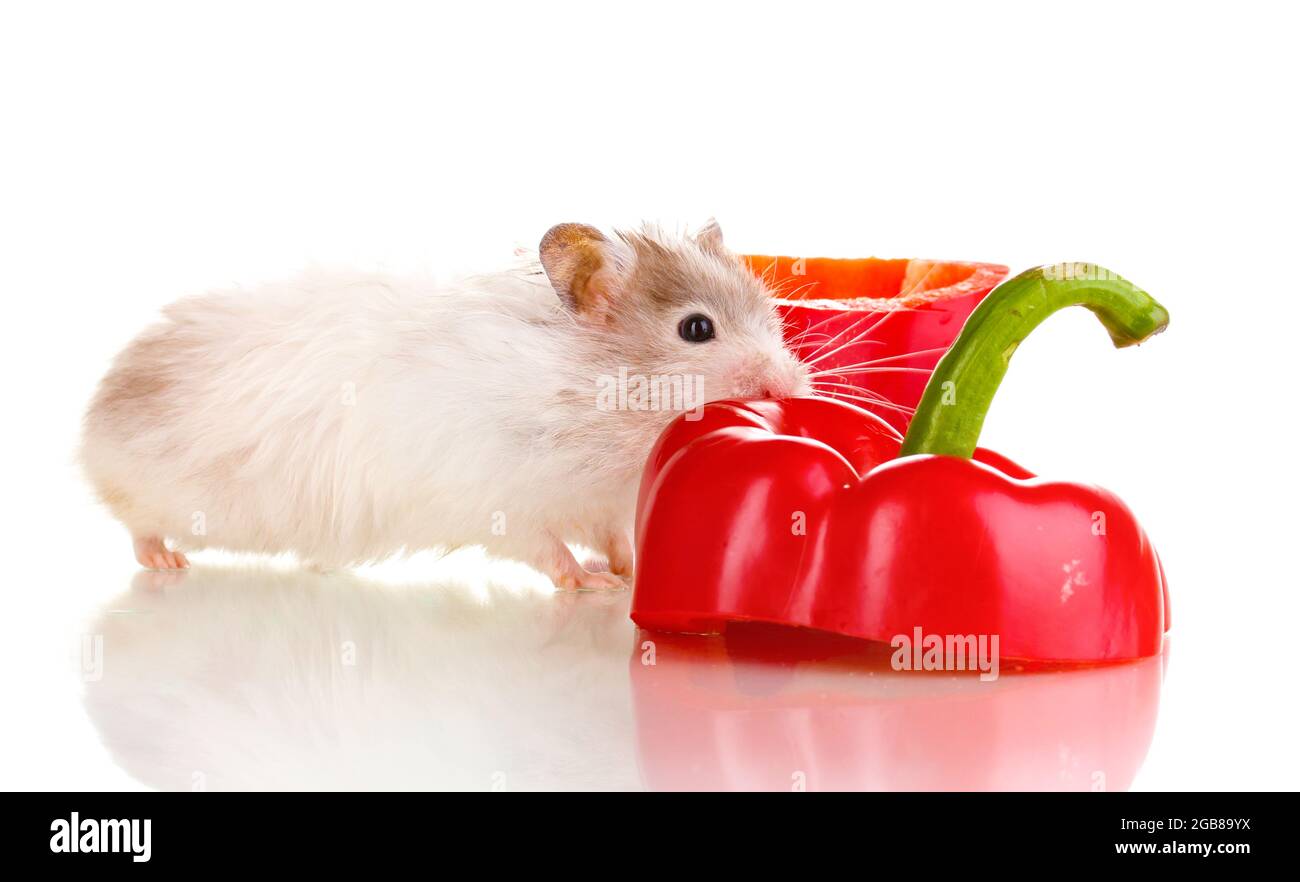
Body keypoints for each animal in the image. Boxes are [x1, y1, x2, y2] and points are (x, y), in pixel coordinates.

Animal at [80, 221, 812, 587]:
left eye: (771, 318)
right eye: (696, 328)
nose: (791, 388)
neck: (603, 400)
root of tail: (94, 421)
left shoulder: (602, 503)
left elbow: (611, 537)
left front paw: (628, 571)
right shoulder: (503, 496)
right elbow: (547, 549)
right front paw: (591, 584)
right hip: (146, 487)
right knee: (136, 527)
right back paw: (166, 562)